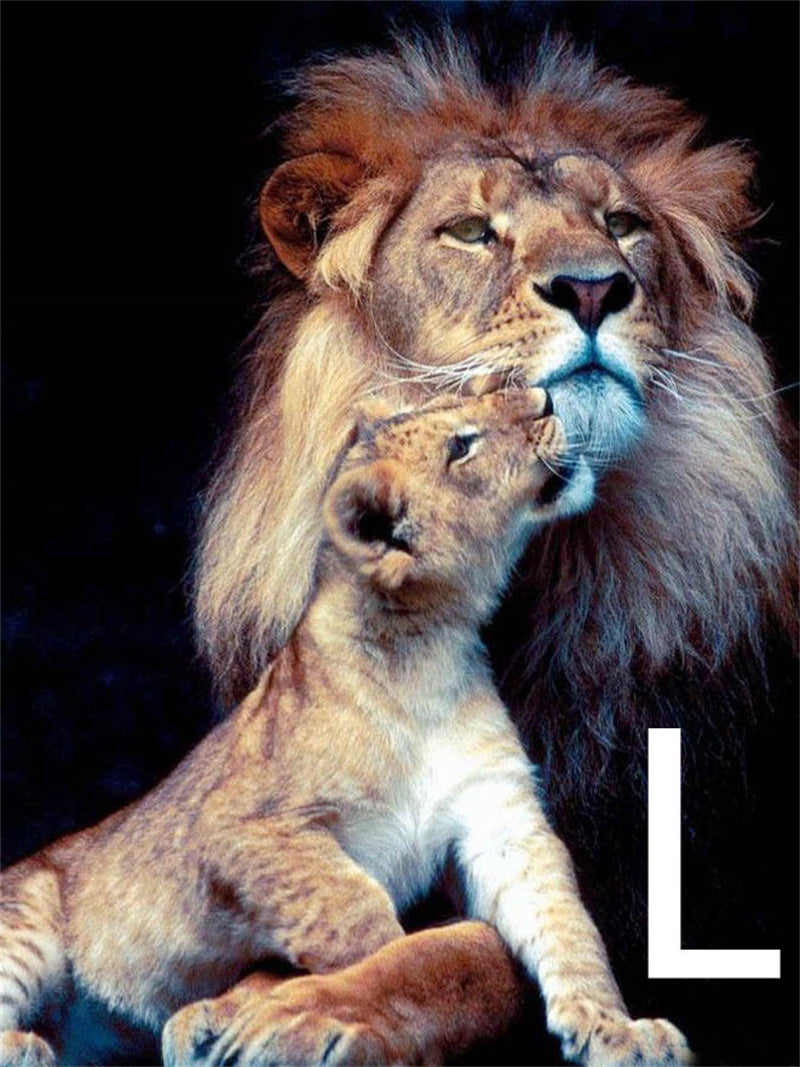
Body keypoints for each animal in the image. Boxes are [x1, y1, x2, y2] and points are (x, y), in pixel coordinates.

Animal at [1, 390, 692, 1066]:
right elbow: (361, 917)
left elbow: (566, 927)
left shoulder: (499, 821)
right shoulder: (238, 828)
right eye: (461, 446)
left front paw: (615, 1030)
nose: (547, 396)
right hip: (27, 924)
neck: (426, 652)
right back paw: (29, 1046)